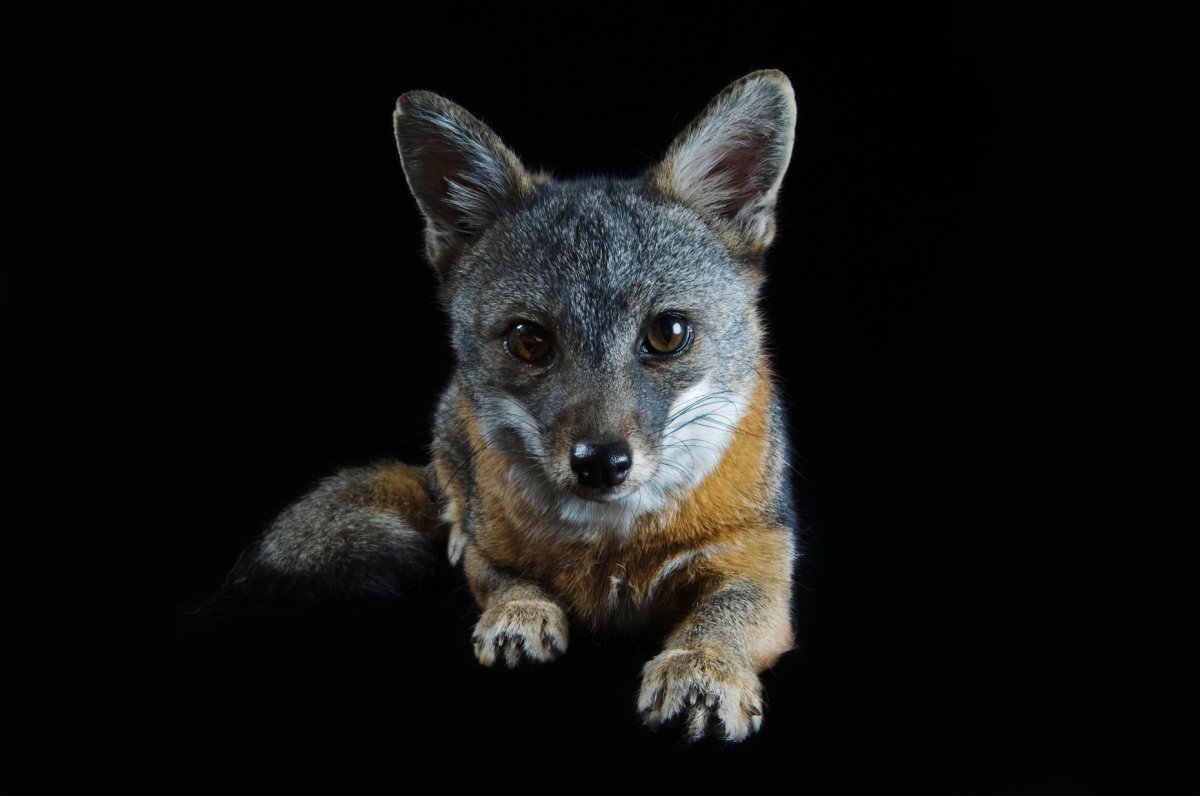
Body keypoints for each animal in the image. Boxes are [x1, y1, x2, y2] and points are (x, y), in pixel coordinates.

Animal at [224, 70, 801, 743]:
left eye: (667, 334)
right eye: (529, 340)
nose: (600, 463)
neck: (613, 551)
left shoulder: (759, 558)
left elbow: (725, 615)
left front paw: (705, 667)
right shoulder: (491, 549)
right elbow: (498, 576)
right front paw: (519, 609)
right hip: (449, 417)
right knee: (447, 481)